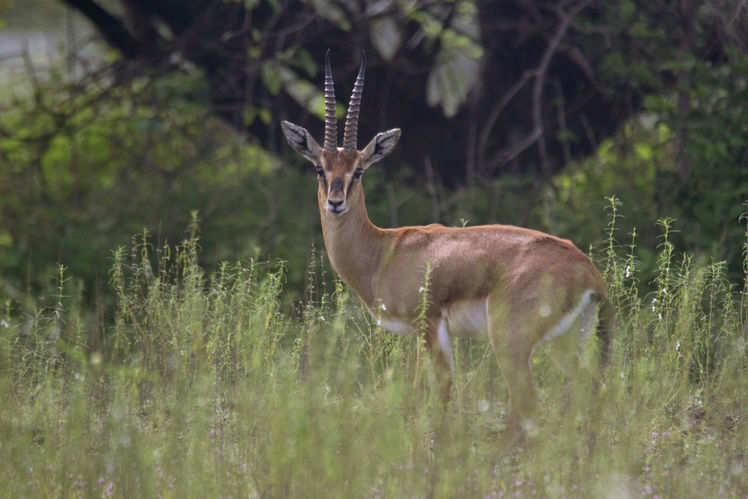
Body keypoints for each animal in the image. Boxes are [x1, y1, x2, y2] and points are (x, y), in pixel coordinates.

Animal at [280, 52, 612, 438]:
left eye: (358, 170)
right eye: (319, 168)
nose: (335, 203)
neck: (384, 252)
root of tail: (588, 272)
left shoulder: (429, 324)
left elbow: (432, 391)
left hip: (511, 344)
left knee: (528, 404)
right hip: (567, 342)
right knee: (589, 393)